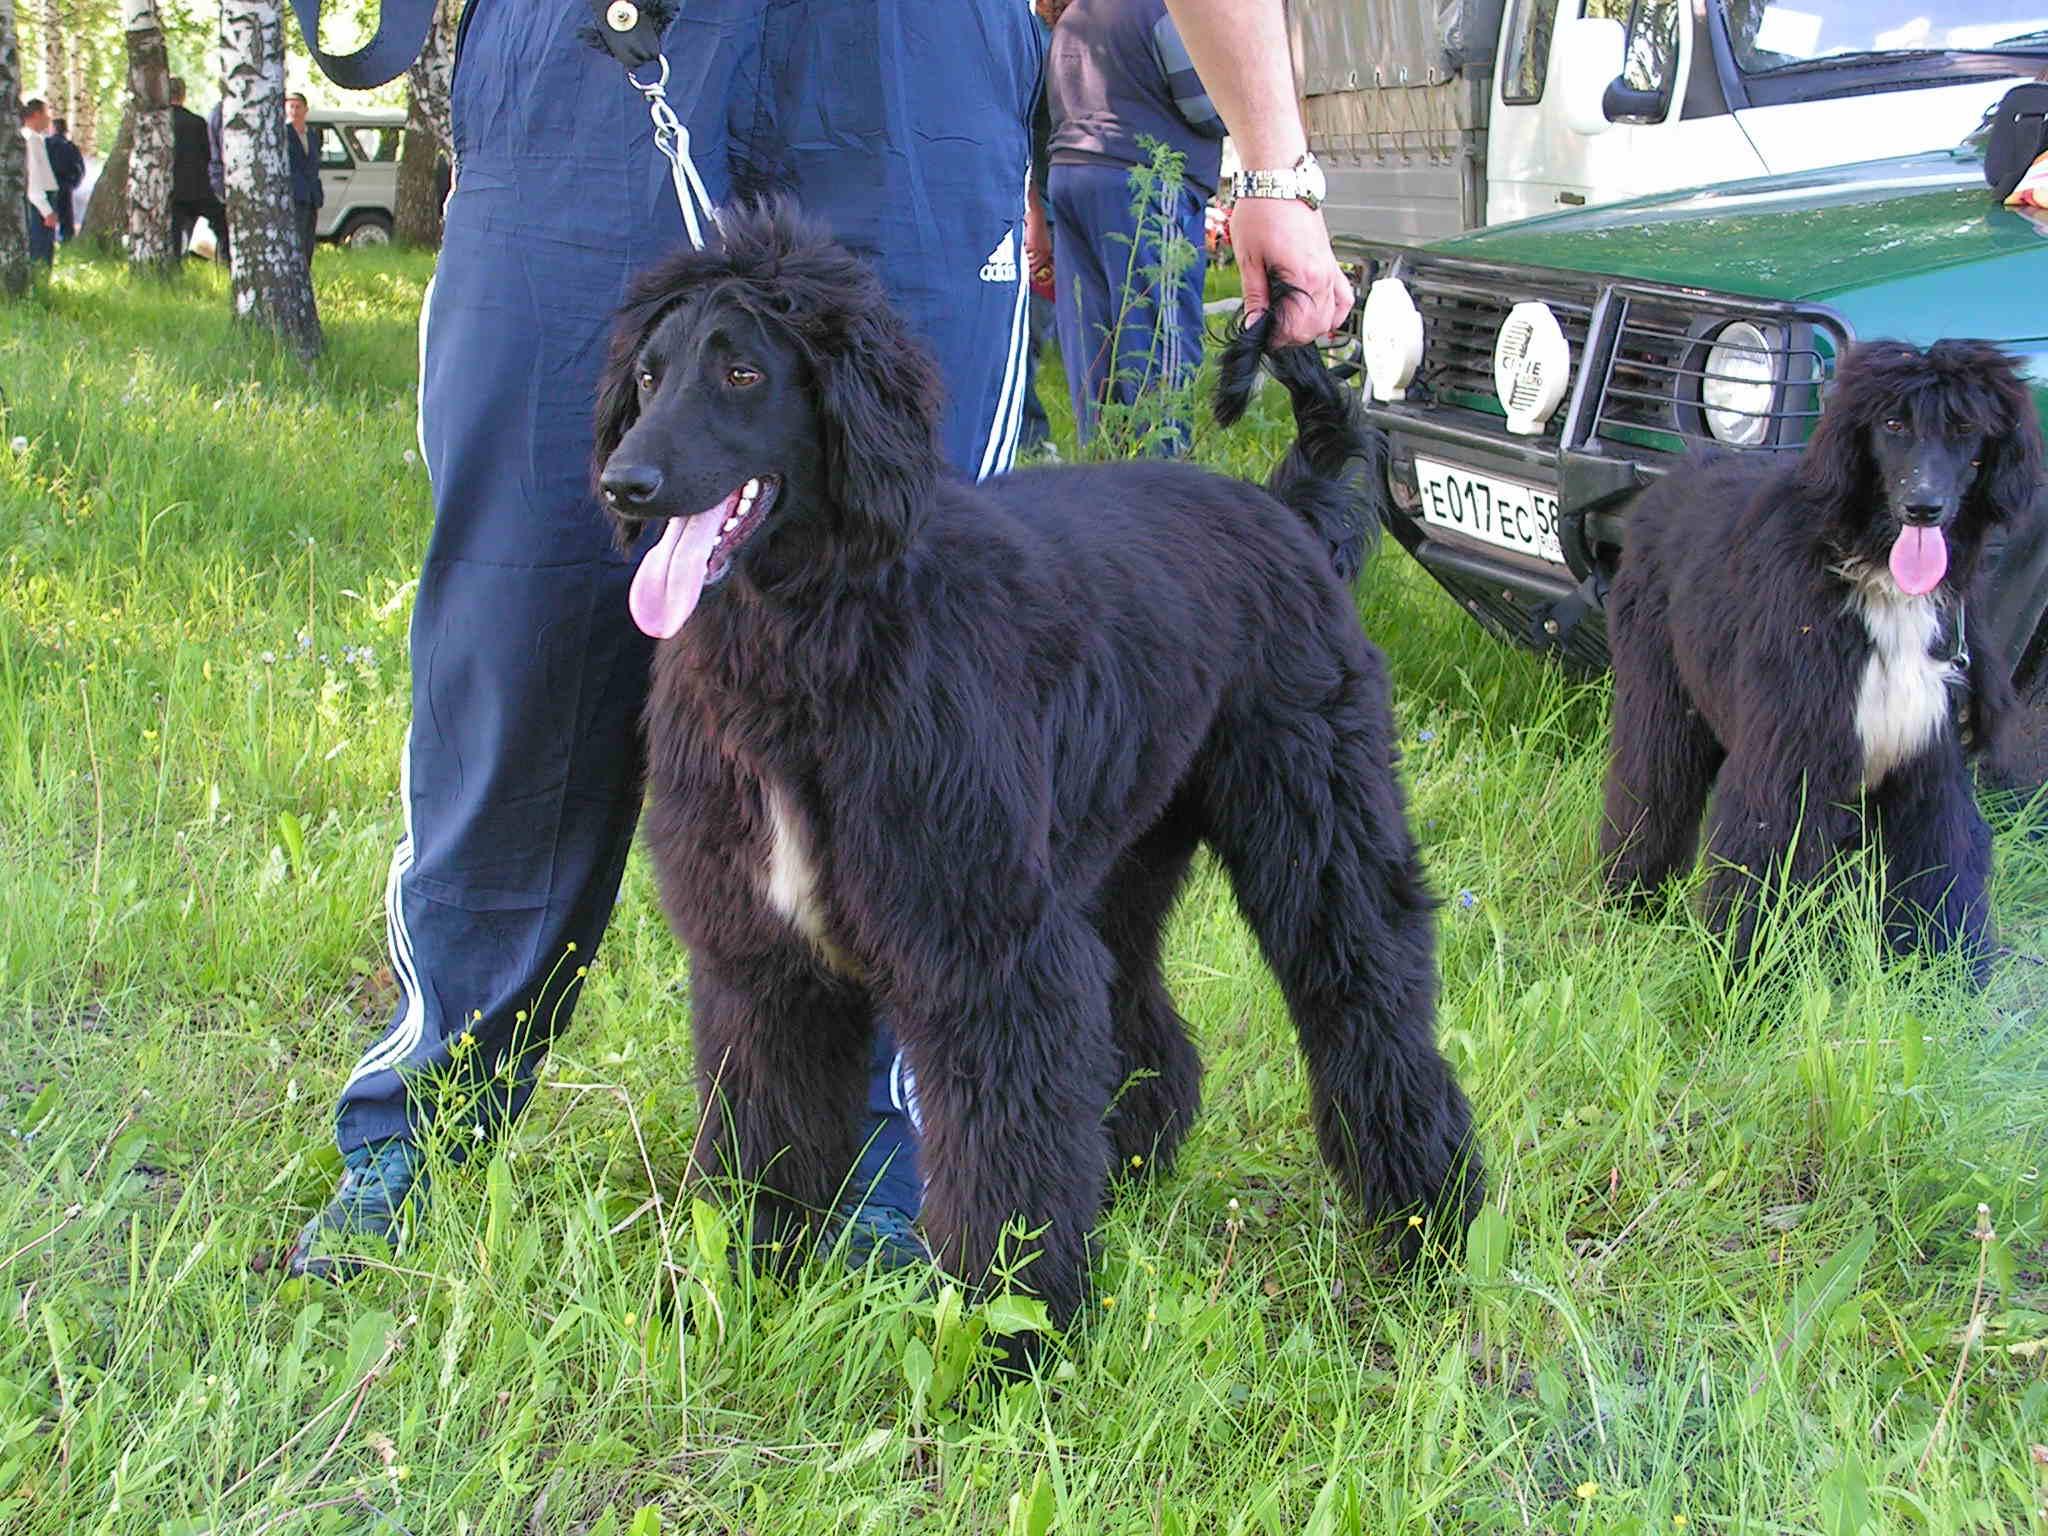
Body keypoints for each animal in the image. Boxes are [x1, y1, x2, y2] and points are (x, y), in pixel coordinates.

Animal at [589, 201, 1474, 1335]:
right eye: (648, 375)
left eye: (742, 372)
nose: (626, 482)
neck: (821, 638)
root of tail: (1288, 510)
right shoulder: (761, 962)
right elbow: (764, 1133)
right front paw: (740, 1286)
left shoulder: (986, 957)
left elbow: (1003, 1163)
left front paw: (1016, 1329)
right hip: (1117, 860)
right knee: (1142, 1028)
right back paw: (1132, 1173)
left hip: (1318, 835)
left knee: (1367, 1002)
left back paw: (1429, 1221)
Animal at [1605, 342, 2039, 978]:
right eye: (1892, 424)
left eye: (1965, 427)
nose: (1923, 507)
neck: (1876, 580)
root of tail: (1678, 474)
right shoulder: (1792, 754)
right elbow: (1765, 865)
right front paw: (1752, 980)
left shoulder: (1927, 759)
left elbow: (1941, 867)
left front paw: (1949, 977)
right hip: (1661, 688)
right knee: (1650, 787)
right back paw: (1631, 899)